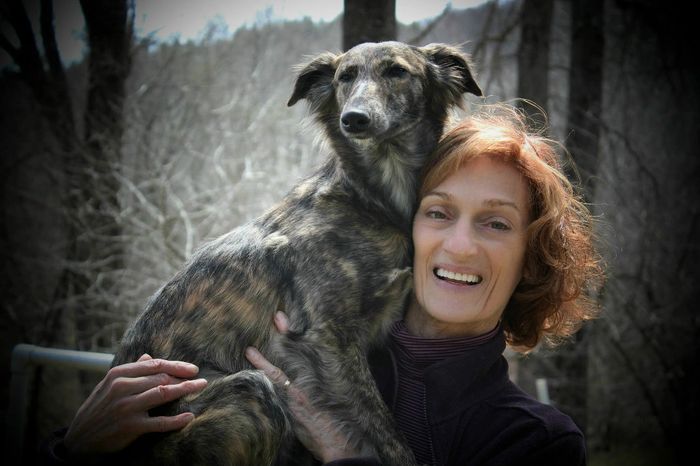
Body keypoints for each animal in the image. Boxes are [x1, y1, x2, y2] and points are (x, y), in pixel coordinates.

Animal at [112, 41, 482, 464]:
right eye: (345, 77)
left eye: (397, 72)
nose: (354, 119)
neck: (374, 200)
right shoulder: (324, 339)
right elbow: (387, 433)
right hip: (248, 391)